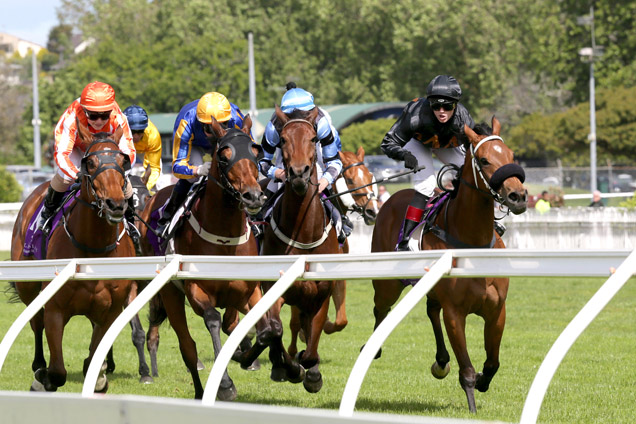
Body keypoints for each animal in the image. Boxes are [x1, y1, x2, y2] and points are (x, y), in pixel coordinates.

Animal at [10, 124, 137, 392]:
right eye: (90, 163)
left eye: (123, 160)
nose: (115, 204)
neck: (93, 249)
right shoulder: (55, 310)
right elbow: (58, 372)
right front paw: (43, 378)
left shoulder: (110, 311)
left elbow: (92, 361)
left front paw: (100, 376)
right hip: (28, 287)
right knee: (35, 321)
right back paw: (38, 366)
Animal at [138, 114, 268, 400]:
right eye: (224, 155)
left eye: (255, 151)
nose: (253, 195)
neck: (225, 238)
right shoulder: (197, 290)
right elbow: (213, 320)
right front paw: (226, 383)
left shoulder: (249, 291)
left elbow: (265, 328)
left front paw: (248, 357)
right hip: (171, 295)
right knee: (188, 346)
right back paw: (200, 390)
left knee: (232, 324)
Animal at [242, 106, 342, 394]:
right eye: (283, 140)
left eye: (313, 138)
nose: (298, 174)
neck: (304, 235)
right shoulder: (274, 288)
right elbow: (274, 329)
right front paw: (289, 368)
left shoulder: (321, 292)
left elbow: (311, 344)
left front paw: (312, 373)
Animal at [368, 117, 528, 412]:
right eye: (484, 160)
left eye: (511, 156)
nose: (518, 196)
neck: (472, 243)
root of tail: (391, 199)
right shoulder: (455, 313)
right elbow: (466, 369)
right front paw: (472, 404)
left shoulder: (497, 310)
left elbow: (493, 362)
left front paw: (483, 380)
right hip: (388, 285)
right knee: (380, 308)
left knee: (431, 310)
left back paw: (441, 361)